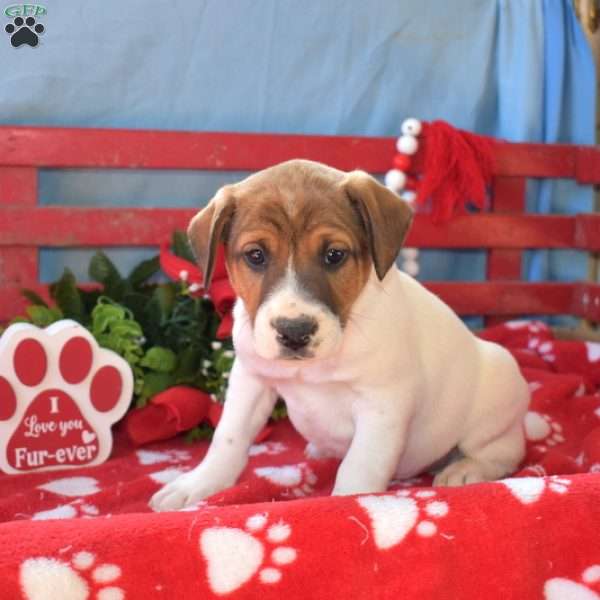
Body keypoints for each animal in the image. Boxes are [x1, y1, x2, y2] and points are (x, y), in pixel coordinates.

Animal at [151, 159, 528, 510]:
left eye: (334, 255)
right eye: (255, 255)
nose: (294, 332)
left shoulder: (382, 405)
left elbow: (359, 466)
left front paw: (347, 505)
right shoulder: (251, 379)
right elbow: (228, 437)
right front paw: (200, 483)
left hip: (495, 394)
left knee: (505, 450)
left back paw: (466, 469)